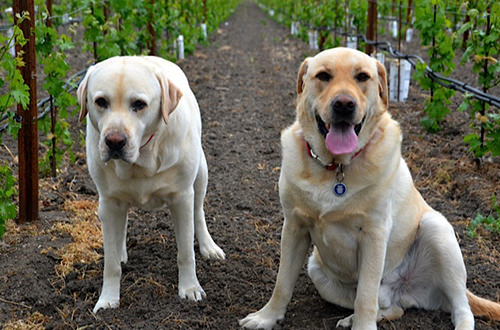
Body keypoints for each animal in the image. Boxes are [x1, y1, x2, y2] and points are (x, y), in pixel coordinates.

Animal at [77, 55, 226, 314]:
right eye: (101, 102)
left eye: (139, 104)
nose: (114, 141)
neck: (142, 158)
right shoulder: (108, 202)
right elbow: (111, 263)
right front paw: (107, 299)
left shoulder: (182, 198)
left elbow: (186, 252)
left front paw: (190, 289)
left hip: (201, 173)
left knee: (198, 212)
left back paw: (208, 246)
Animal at [239, 47, 500, 330]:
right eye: (323, 75)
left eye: (362, 77)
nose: (344, 104)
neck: (336, 168)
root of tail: (402, 289)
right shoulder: (294, 226)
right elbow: (282, 282)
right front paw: (267, 317)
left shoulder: (374, 233)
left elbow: (365, 294)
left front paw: (362, 326)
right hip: (317, 270)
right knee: (392, 307)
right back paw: (355, 317)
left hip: (437, 229)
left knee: (461, 308)